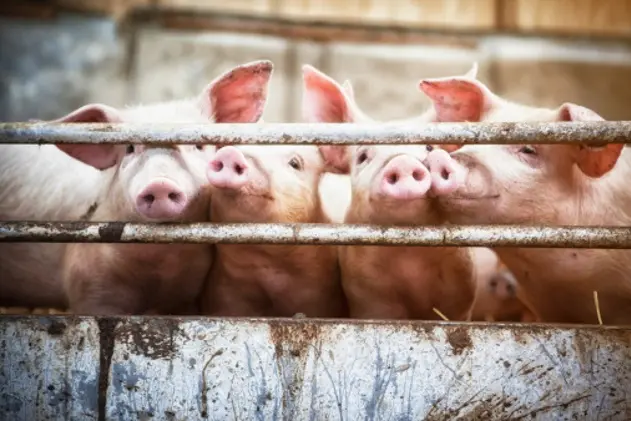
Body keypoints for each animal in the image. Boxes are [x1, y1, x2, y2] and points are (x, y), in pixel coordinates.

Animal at [302, 64, 478, 318]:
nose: (402, 162)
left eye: (429, 147)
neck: (408, 260)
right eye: (363, 156)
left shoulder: (461, 295)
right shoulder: (367, 297)